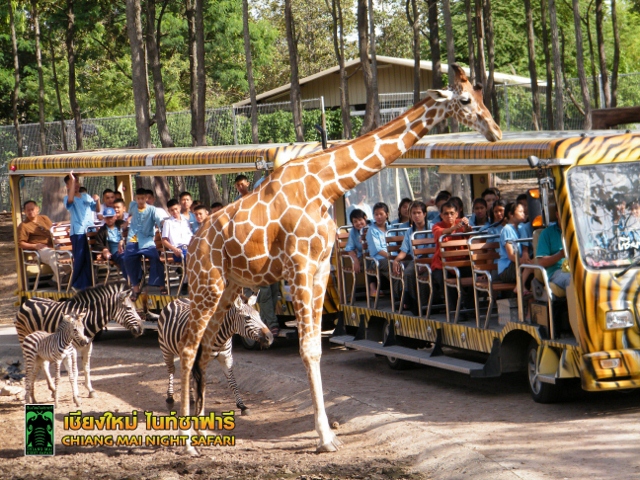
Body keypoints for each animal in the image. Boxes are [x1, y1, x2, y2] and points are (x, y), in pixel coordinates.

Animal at [15, 284, 144, 398]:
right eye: (129, 308)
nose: (141, 329)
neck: (87, 320)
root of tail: (28, 300)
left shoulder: (88, 345)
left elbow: (86, 369)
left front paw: (91, 390)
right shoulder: (73, 348)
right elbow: (75, 370)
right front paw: (76, 393)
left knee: (43, 363)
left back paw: (52, 389)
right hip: (24, 338)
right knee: (31, 364)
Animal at [179, 63, 500, 454]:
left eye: (482, 95)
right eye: (466, 99)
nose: (496, 131)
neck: (324, 186)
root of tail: (194, 242)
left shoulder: (319, 270)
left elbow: (316, 348)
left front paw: (328, 434)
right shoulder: (300, 268)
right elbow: (306, 349)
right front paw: (323, 437)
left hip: (228, 288)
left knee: (206, 348)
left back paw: (202, 430)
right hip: (206, 286)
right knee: (188, 348)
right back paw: (186, 440)